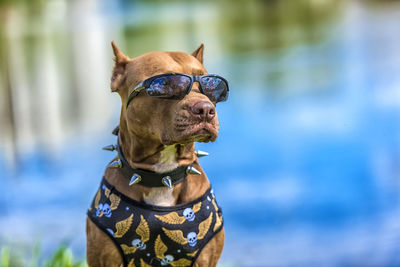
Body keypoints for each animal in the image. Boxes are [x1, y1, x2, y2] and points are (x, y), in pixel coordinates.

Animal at [85, 42, 227, 267]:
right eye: (166, 84)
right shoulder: (104, 259)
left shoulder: (205, 259)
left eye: (210, 84)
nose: (205, 109)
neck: (163, 176)